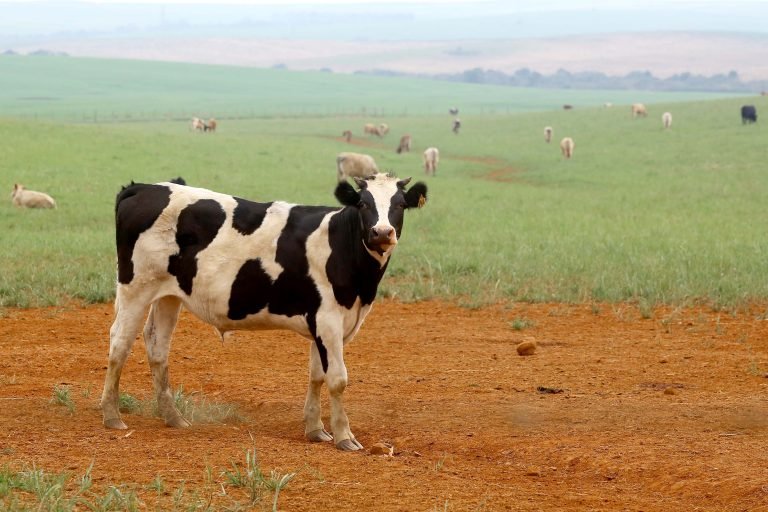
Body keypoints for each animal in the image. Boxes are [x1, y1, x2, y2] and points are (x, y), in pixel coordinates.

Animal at [100, 175, 428, 451]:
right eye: (363, 203)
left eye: (400, 205)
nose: (382, 232)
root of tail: (143, 187)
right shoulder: (329, 320)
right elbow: (337, 379)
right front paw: (344, 436)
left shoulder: (323, 323)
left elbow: (316, 376)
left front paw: (315, 429)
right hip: (135, 288)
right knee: (119, 343)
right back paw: (112, 415)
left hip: (168, 295)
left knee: (157, 347)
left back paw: (173, 417)